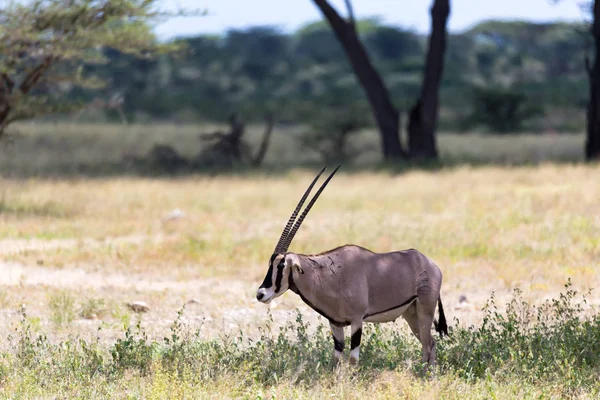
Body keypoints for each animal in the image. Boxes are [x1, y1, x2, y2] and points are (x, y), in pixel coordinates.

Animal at [255, 166, 448, 368]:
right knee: (430, 343)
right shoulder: (335, 323)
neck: (330, 274)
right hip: (411, 313)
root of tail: (431, 265)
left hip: (425, 310)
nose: (260, 294)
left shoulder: (357, 320)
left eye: (281, 265)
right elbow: (336, 358)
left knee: (428, 344)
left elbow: (353, 359)